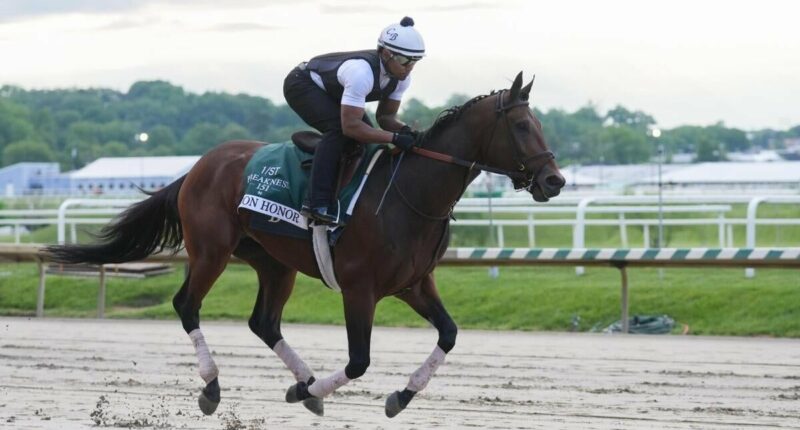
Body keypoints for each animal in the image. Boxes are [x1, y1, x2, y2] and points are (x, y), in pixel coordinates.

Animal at [44, 72, 565, 418]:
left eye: (540, 123)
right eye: (522, 127)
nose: (554, 180)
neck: (410, 193)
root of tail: (197, 167)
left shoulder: (414, 283)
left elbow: (449, 334)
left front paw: (397, 396)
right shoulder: (360, 289)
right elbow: (359, 361)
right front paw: (316, 393)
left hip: (276, 263)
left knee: (263, 322)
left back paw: (303, 379)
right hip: (211, 252)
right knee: (186, 305)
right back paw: (214, 387)